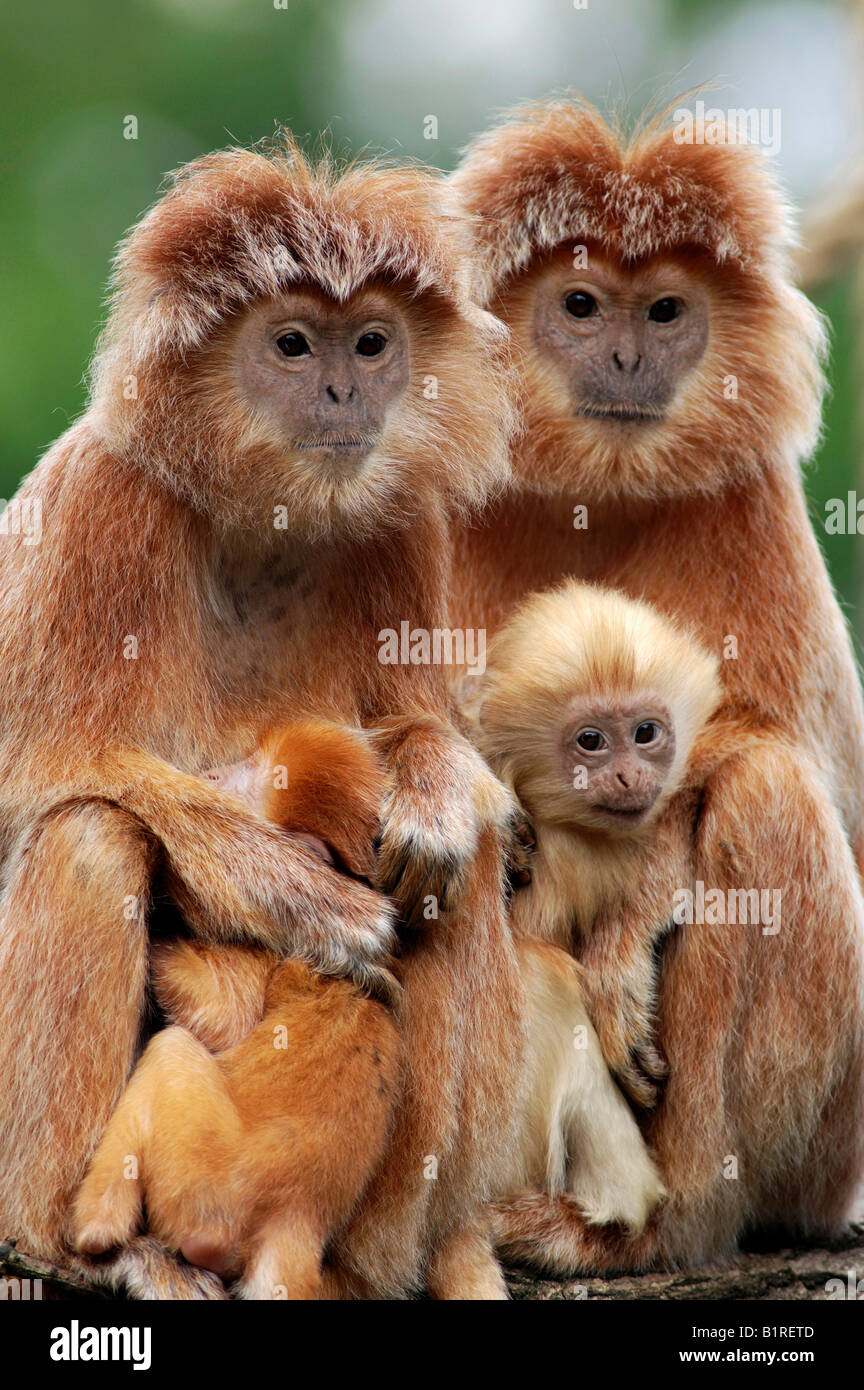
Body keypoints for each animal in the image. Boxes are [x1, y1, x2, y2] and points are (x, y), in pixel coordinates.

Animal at [447, 97, 864, 1273]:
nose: (631, 353)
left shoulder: (749, 503)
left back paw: (656, 1227)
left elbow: (776, 750)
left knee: (767, 796)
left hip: (831, 1138)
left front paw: (630, 938)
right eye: (583, 306)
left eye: (667, 309)